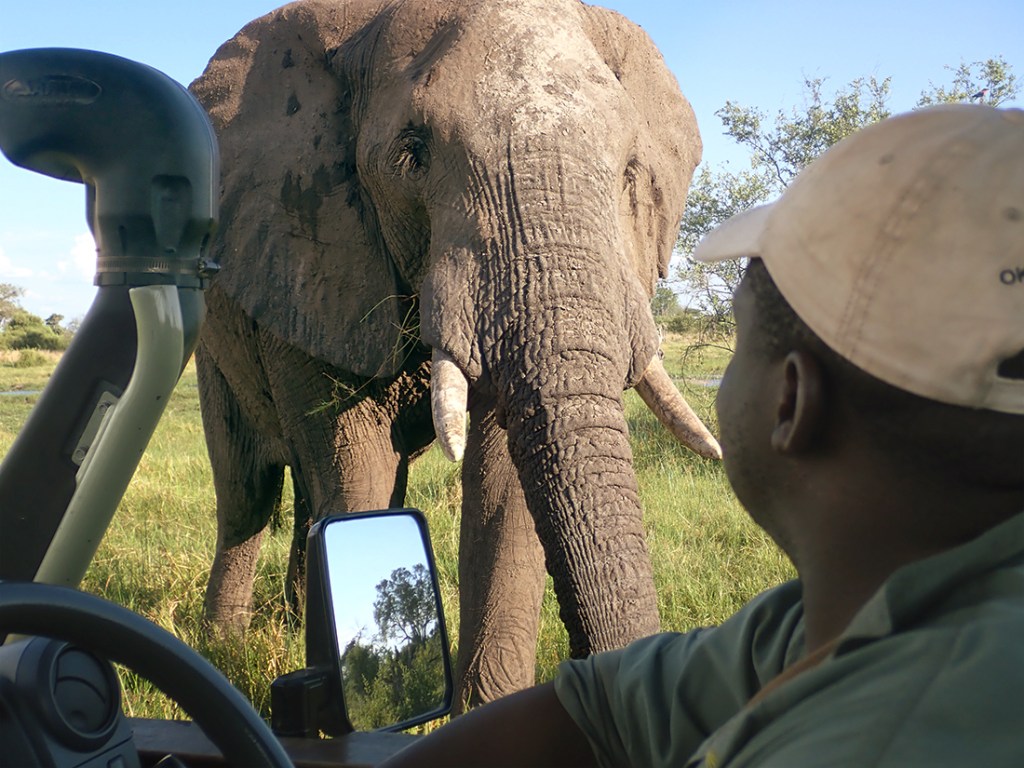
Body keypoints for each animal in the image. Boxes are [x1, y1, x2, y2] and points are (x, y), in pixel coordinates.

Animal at [190, 0, 720, 712]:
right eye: (410, 156)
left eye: (633, 170)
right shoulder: (312, 251)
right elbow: (358, 474)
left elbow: (501, 482)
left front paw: (486, 708)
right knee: (249, 491)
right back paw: (221, 648)